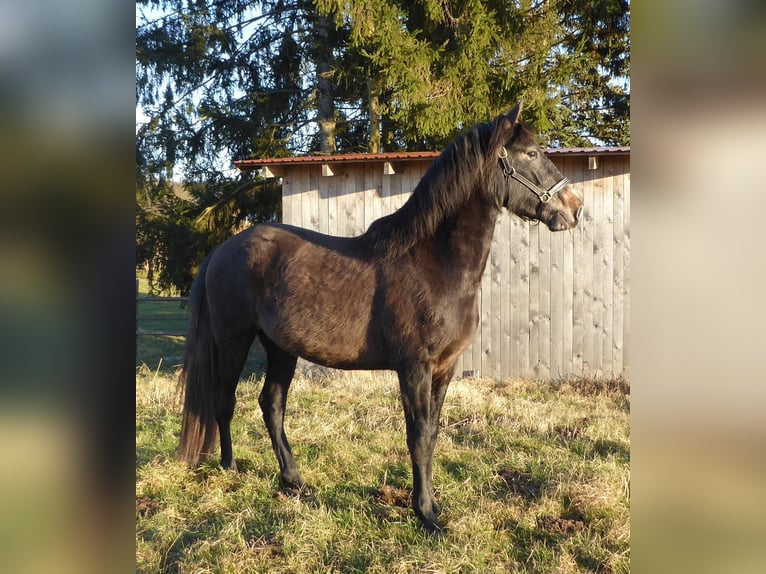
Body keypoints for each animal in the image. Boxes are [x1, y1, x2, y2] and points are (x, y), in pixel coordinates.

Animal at [177, 103, 584, 536]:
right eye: (531, 153)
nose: (575, 208)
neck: (434, 263)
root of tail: (224, 249)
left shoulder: (445, 368)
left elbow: (432, 435)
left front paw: (432, 505)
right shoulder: (414, 368)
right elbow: (417, 437)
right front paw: (425, 515)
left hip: (281, 348)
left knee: (271, 404)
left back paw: (294, 481)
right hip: (233, 338)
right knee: (224, 399)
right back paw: (230, 467)